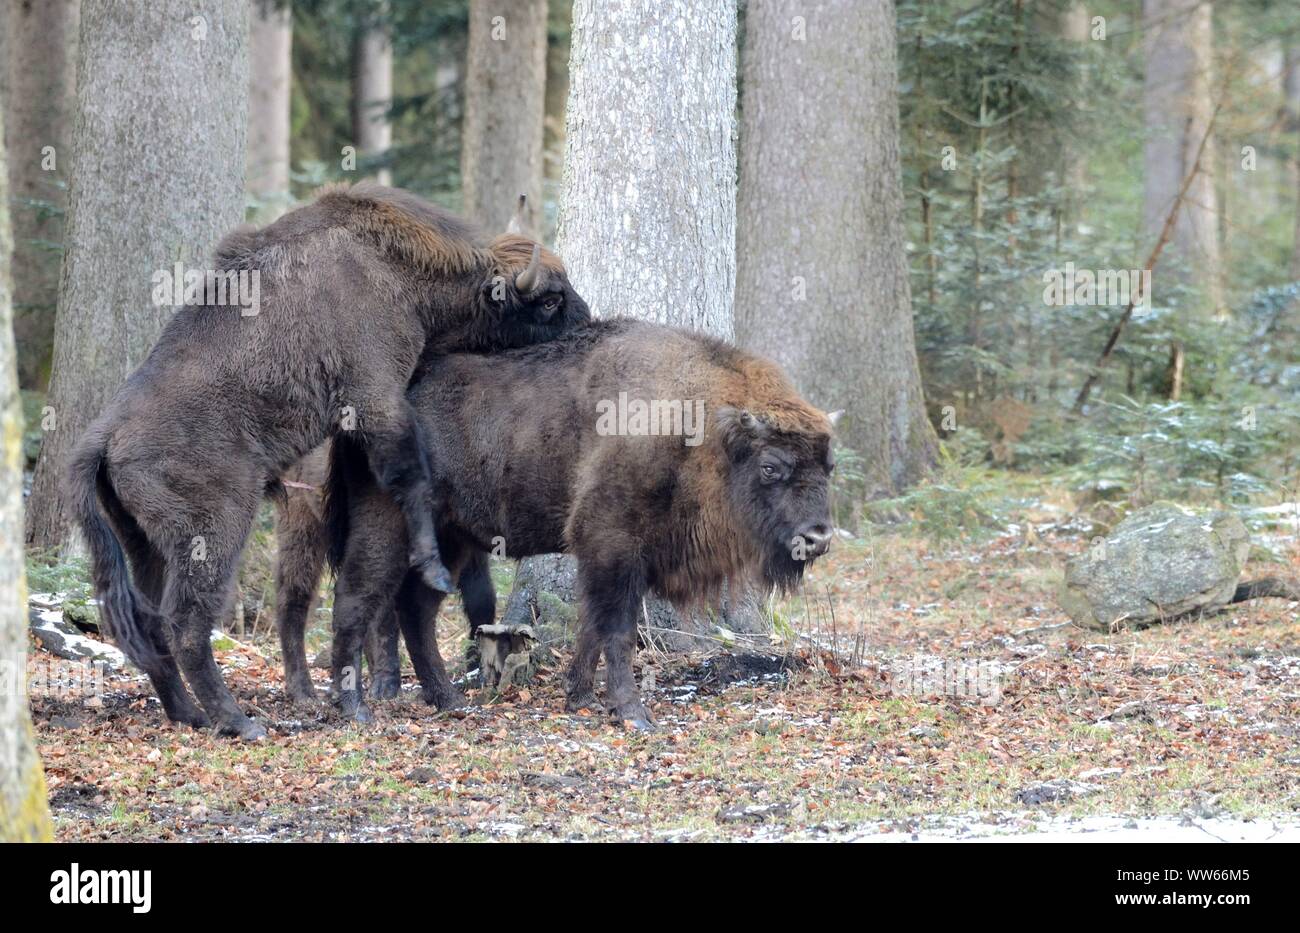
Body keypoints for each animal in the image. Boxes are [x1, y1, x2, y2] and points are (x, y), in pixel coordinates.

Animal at [64, 184, 585, 738]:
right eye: (550, 300)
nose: (589, 323)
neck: (394, 268)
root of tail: (105, 435)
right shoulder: (377, 394)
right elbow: (411, 478)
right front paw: (432, 567)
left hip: (144, 543)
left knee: (153, 623)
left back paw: (191, 715)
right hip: (215, 534)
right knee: (189, 623)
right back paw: (240, 722)